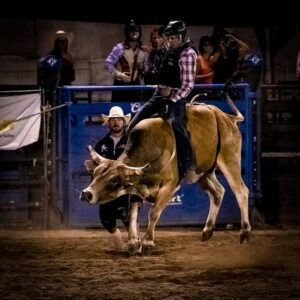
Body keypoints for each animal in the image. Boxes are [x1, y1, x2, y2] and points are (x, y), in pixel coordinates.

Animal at [80, 95, 251, 254]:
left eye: (114, 179)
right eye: (95, 173)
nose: (86, 194)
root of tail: (227, 118)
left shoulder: (170, 186)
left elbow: (154, 212)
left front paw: (148, 242)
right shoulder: (137, 187)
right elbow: (133, 214)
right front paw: (133, 243)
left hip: (229, 159)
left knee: (241, 191)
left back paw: (244, 232)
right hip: (205, 172)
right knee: (218, 192)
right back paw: (207, 230)